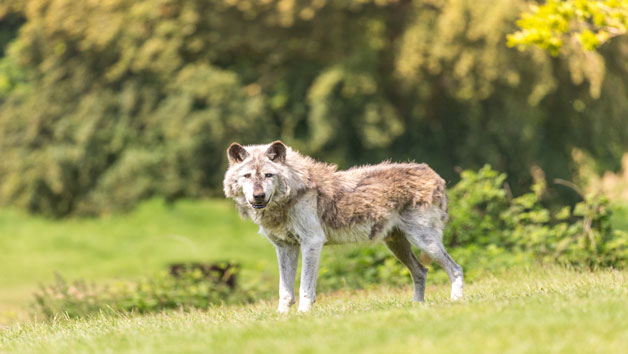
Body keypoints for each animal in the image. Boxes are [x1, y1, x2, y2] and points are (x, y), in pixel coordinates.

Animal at [224, 141, 462, 312]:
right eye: (247, 176)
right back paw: (416, 306)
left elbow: (304, 287)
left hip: (425, 242)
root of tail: (432, 172)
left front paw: (303, 314)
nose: (258, 195)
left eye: (268, 175)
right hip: (398, 246)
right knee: (421, 271)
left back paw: (455, 301)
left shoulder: (312, 243)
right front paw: (281, 317)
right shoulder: (285, 248)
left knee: (455, 268)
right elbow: (285, 291)